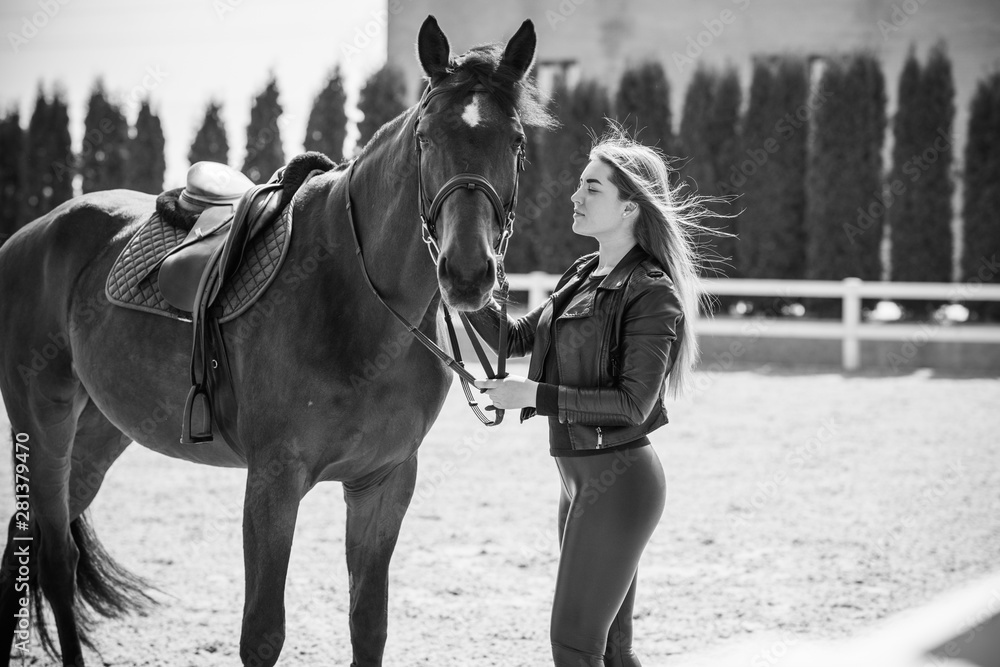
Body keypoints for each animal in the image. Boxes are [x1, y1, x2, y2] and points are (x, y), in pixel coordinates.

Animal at [0, 15, 552, 666]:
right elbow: (262, 632)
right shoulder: (273, 481)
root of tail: (32, 234)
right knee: (53, 558)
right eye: (424, 138)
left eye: (515, 142)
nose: (467, 274)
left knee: (26, 546)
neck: (356, 298)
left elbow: (369, 623)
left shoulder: (384, 483)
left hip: (100, 432)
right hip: (43, 421)